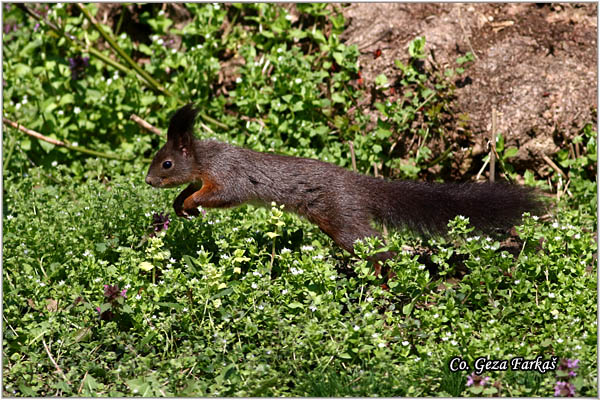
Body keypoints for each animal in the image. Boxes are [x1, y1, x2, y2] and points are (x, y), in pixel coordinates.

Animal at [146, 104, 544, 280]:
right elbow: (192, 191)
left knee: (380, 248)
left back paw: (387, 278)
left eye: (166, 164)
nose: (148, 181)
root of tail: (361, 185)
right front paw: (180, 203)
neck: (205, 159)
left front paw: (192, 203)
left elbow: (222, 195)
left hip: (343, 221)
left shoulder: (230, 177)